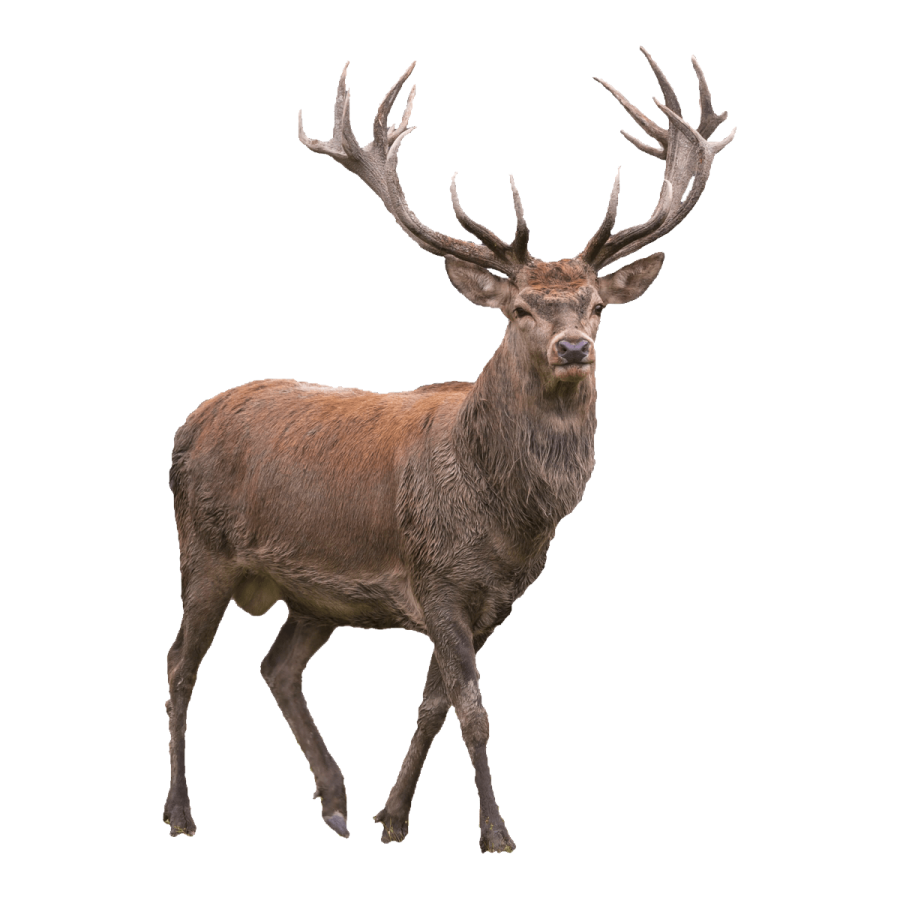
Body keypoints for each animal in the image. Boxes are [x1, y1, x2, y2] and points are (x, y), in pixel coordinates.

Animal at [164, 47, 736, 852]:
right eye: (520, 308)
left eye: (596, 306)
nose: (574, 346)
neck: (504, 517)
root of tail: (190, 422)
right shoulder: (434, 578)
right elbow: (473, 707)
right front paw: (495, 832)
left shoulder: (493, 598)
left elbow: (434, 704)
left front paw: (394, 818)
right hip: (204, 550)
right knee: (180, 666)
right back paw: (182, 813)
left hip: (313, 594)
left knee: (276, 665)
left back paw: (335, 802)